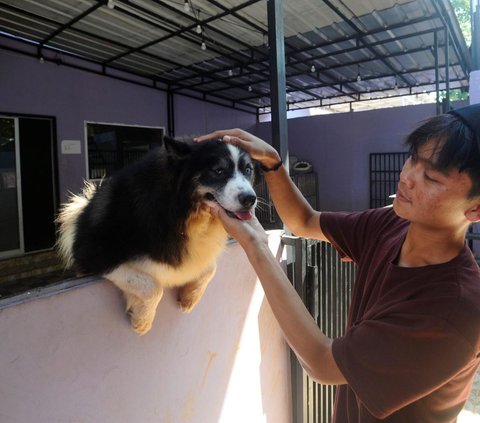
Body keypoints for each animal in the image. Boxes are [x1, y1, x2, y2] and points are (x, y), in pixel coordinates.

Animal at [56, 137, 256, 336]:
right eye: (218, 171)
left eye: (248, 170)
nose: (250, 199)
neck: (181, 210)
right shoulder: (93, 254)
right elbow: (153, 286)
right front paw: (142, 322)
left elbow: (210, 268)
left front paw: (189, 299)